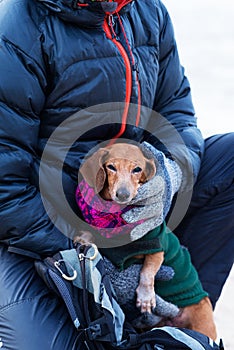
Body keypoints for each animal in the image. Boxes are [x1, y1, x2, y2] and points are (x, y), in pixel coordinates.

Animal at [76, 142, 217, 340]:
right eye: (111, 167)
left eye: (137, 169)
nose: (123, 194)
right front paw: (84, 238)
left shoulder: (156, 247)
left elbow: (148, 271)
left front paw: (145, 297)